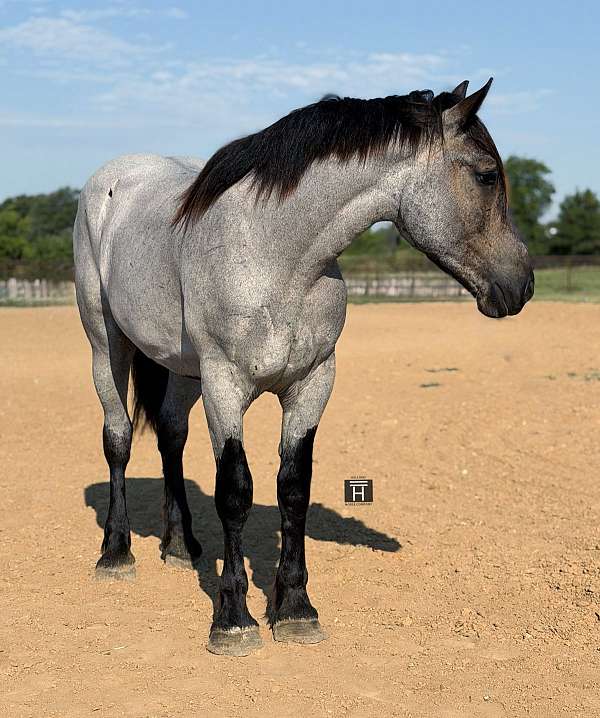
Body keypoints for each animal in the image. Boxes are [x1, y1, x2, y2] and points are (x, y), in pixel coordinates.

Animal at [73, 78, 534, 657]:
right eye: (487, 175)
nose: (524, 284)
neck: (276, 256)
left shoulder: (312, 383)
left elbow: (294, 488)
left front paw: (295, 609)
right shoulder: (225, 386)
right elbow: (235, 492)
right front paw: (233, 619)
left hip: (181, 369)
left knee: (171, 436)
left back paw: (180, 545)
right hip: (105, 345)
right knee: (118, 439)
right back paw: (116, 553)